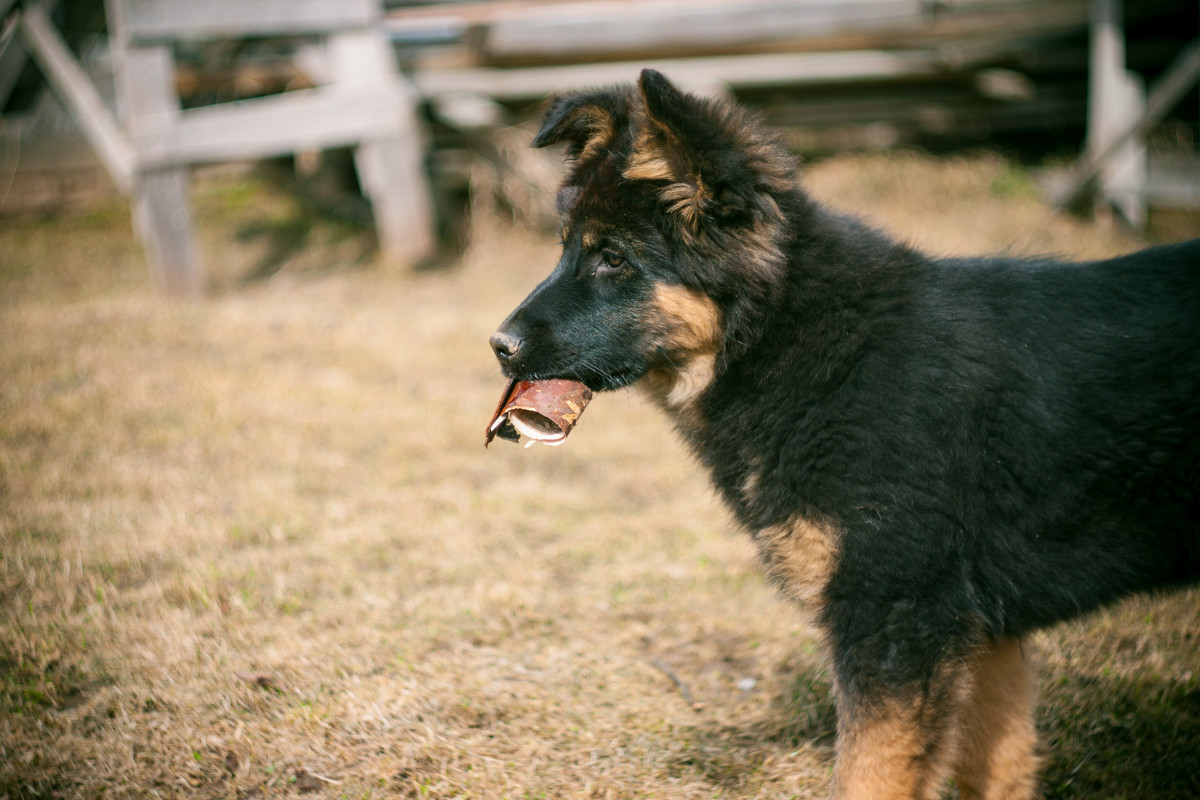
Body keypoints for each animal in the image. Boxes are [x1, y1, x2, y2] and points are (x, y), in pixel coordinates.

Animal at [487, 70, 1200, 800]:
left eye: (612, 259)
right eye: (566, 247)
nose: (499, 347)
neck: (798, 341)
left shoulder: (894, 620)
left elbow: (867, 775)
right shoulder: (982, 633)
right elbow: (995, 767)